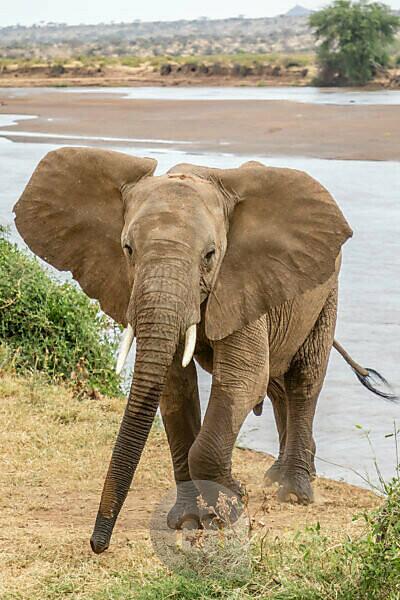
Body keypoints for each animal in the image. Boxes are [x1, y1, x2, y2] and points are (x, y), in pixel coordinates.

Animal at [13, 145, 396, 552]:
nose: (97, 544)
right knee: (278, 386)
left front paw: (230, 505)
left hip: (325, 290)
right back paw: (276, 479)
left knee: (303, 379)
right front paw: (188, 520)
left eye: (210, 255)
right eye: (127, 249)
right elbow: (174, 389)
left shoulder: (241, 279)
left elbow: (243, 378)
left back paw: (293, 493)